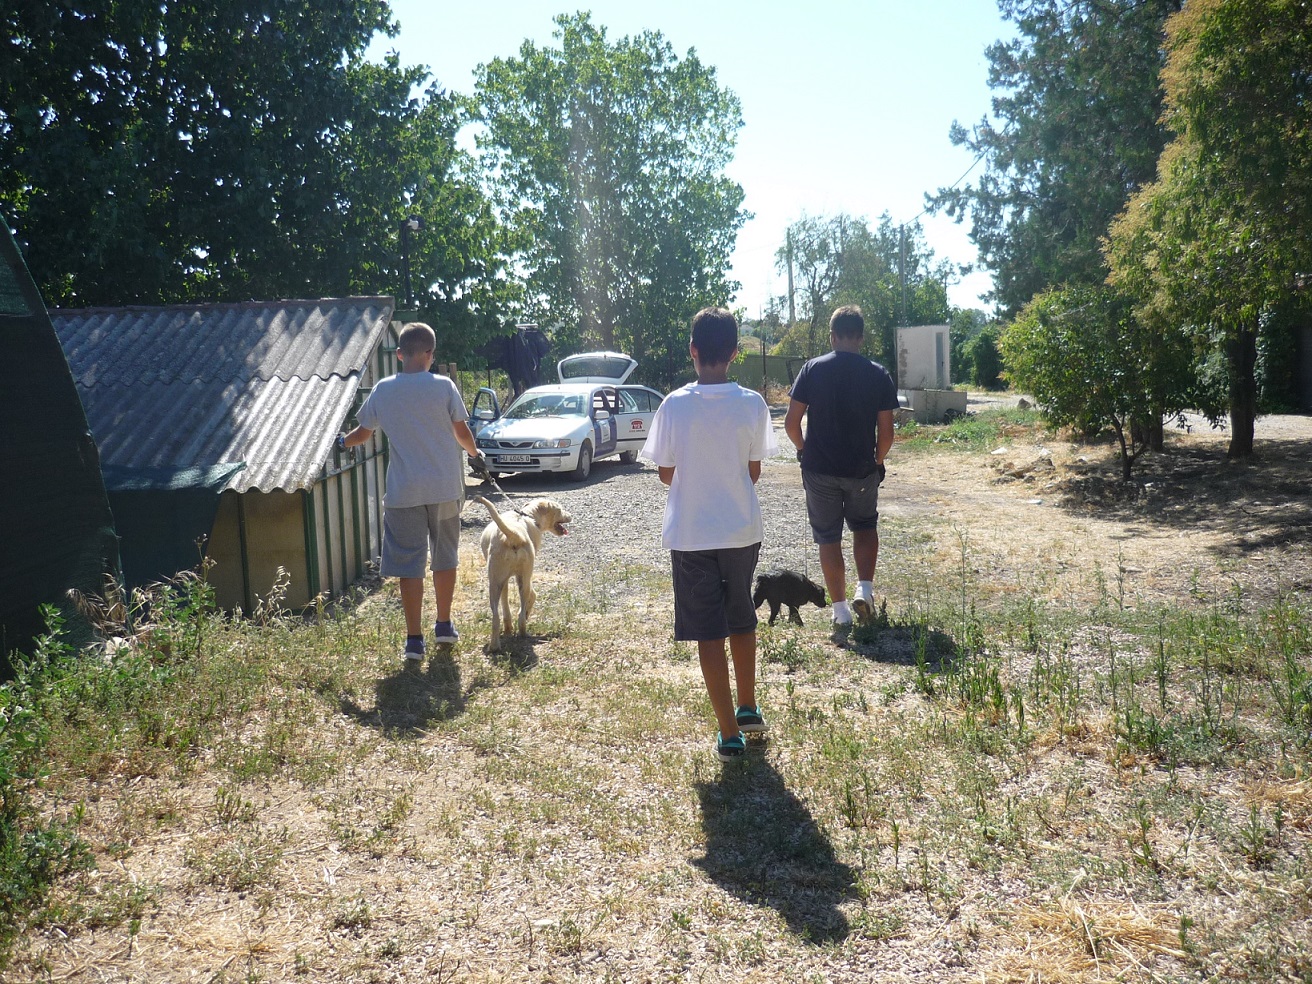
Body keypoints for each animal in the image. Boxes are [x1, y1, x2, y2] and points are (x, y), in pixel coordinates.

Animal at [474, 495, 572, 650]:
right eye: (560, 509)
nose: (571, 516)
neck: (528, 515)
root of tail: (513, 535)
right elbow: (533, 595)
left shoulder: (506, 580)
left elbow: (506, 603)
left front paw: (508, 629)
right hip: (519, 578)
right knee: (521, 614)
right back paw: (522, 633)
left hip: (496, 583)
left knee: (496, 618)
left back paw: (496, 646)